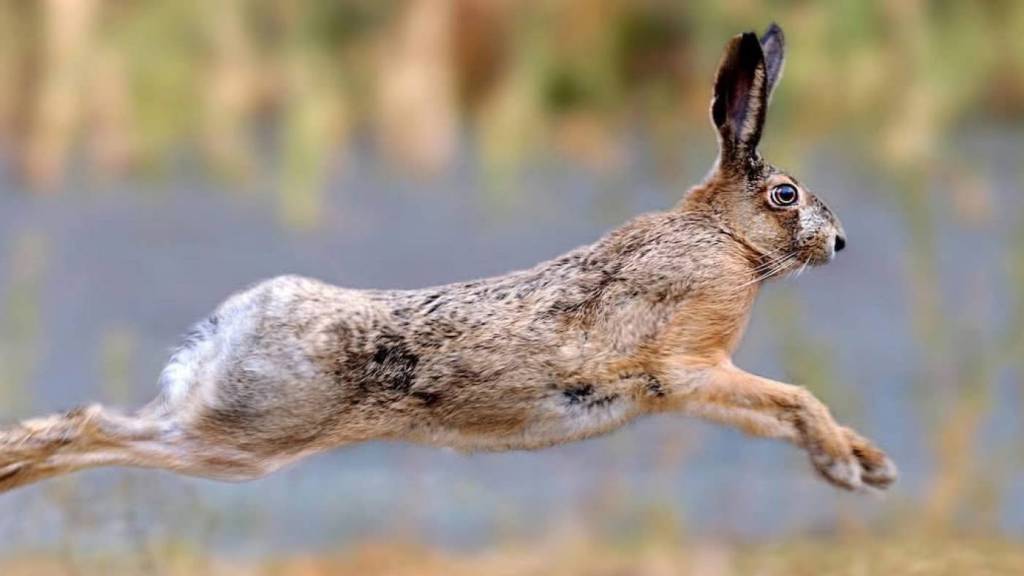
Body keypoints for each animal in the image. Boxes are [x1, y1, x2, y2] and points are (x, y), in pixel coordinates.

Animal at [0, 23, 896, 495]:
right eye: (785, 195)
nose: (841, 243)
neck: (721, 238)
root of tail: (229, 327)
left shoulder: (695, 387)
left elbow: (777, 413)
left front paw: (865, 466)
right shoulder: (688, 366)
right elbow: (794, 399)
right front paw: (855, 469)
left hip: (226, 429)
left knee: (99, 425)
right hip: (242, 440)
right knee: (98, 428)